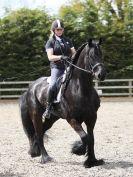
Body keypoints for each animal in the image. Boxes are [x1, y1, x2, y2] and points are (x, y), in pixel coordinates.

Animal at [19, 38, 106, 167]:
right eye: (91, 55)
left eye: (101, 54)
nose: (101, 74)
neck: (80, 89)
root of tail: (31, 87)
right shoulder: (72, 119)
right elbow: (85, 137)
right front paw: (78, 150)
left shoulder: (92, 117)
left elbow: (91, 139)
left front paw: (92, 161)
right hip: (36, 115)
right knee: (39, 134)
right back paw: (45, 157)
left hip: (52, 118)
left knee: (41, 131)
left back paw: (35, 152)